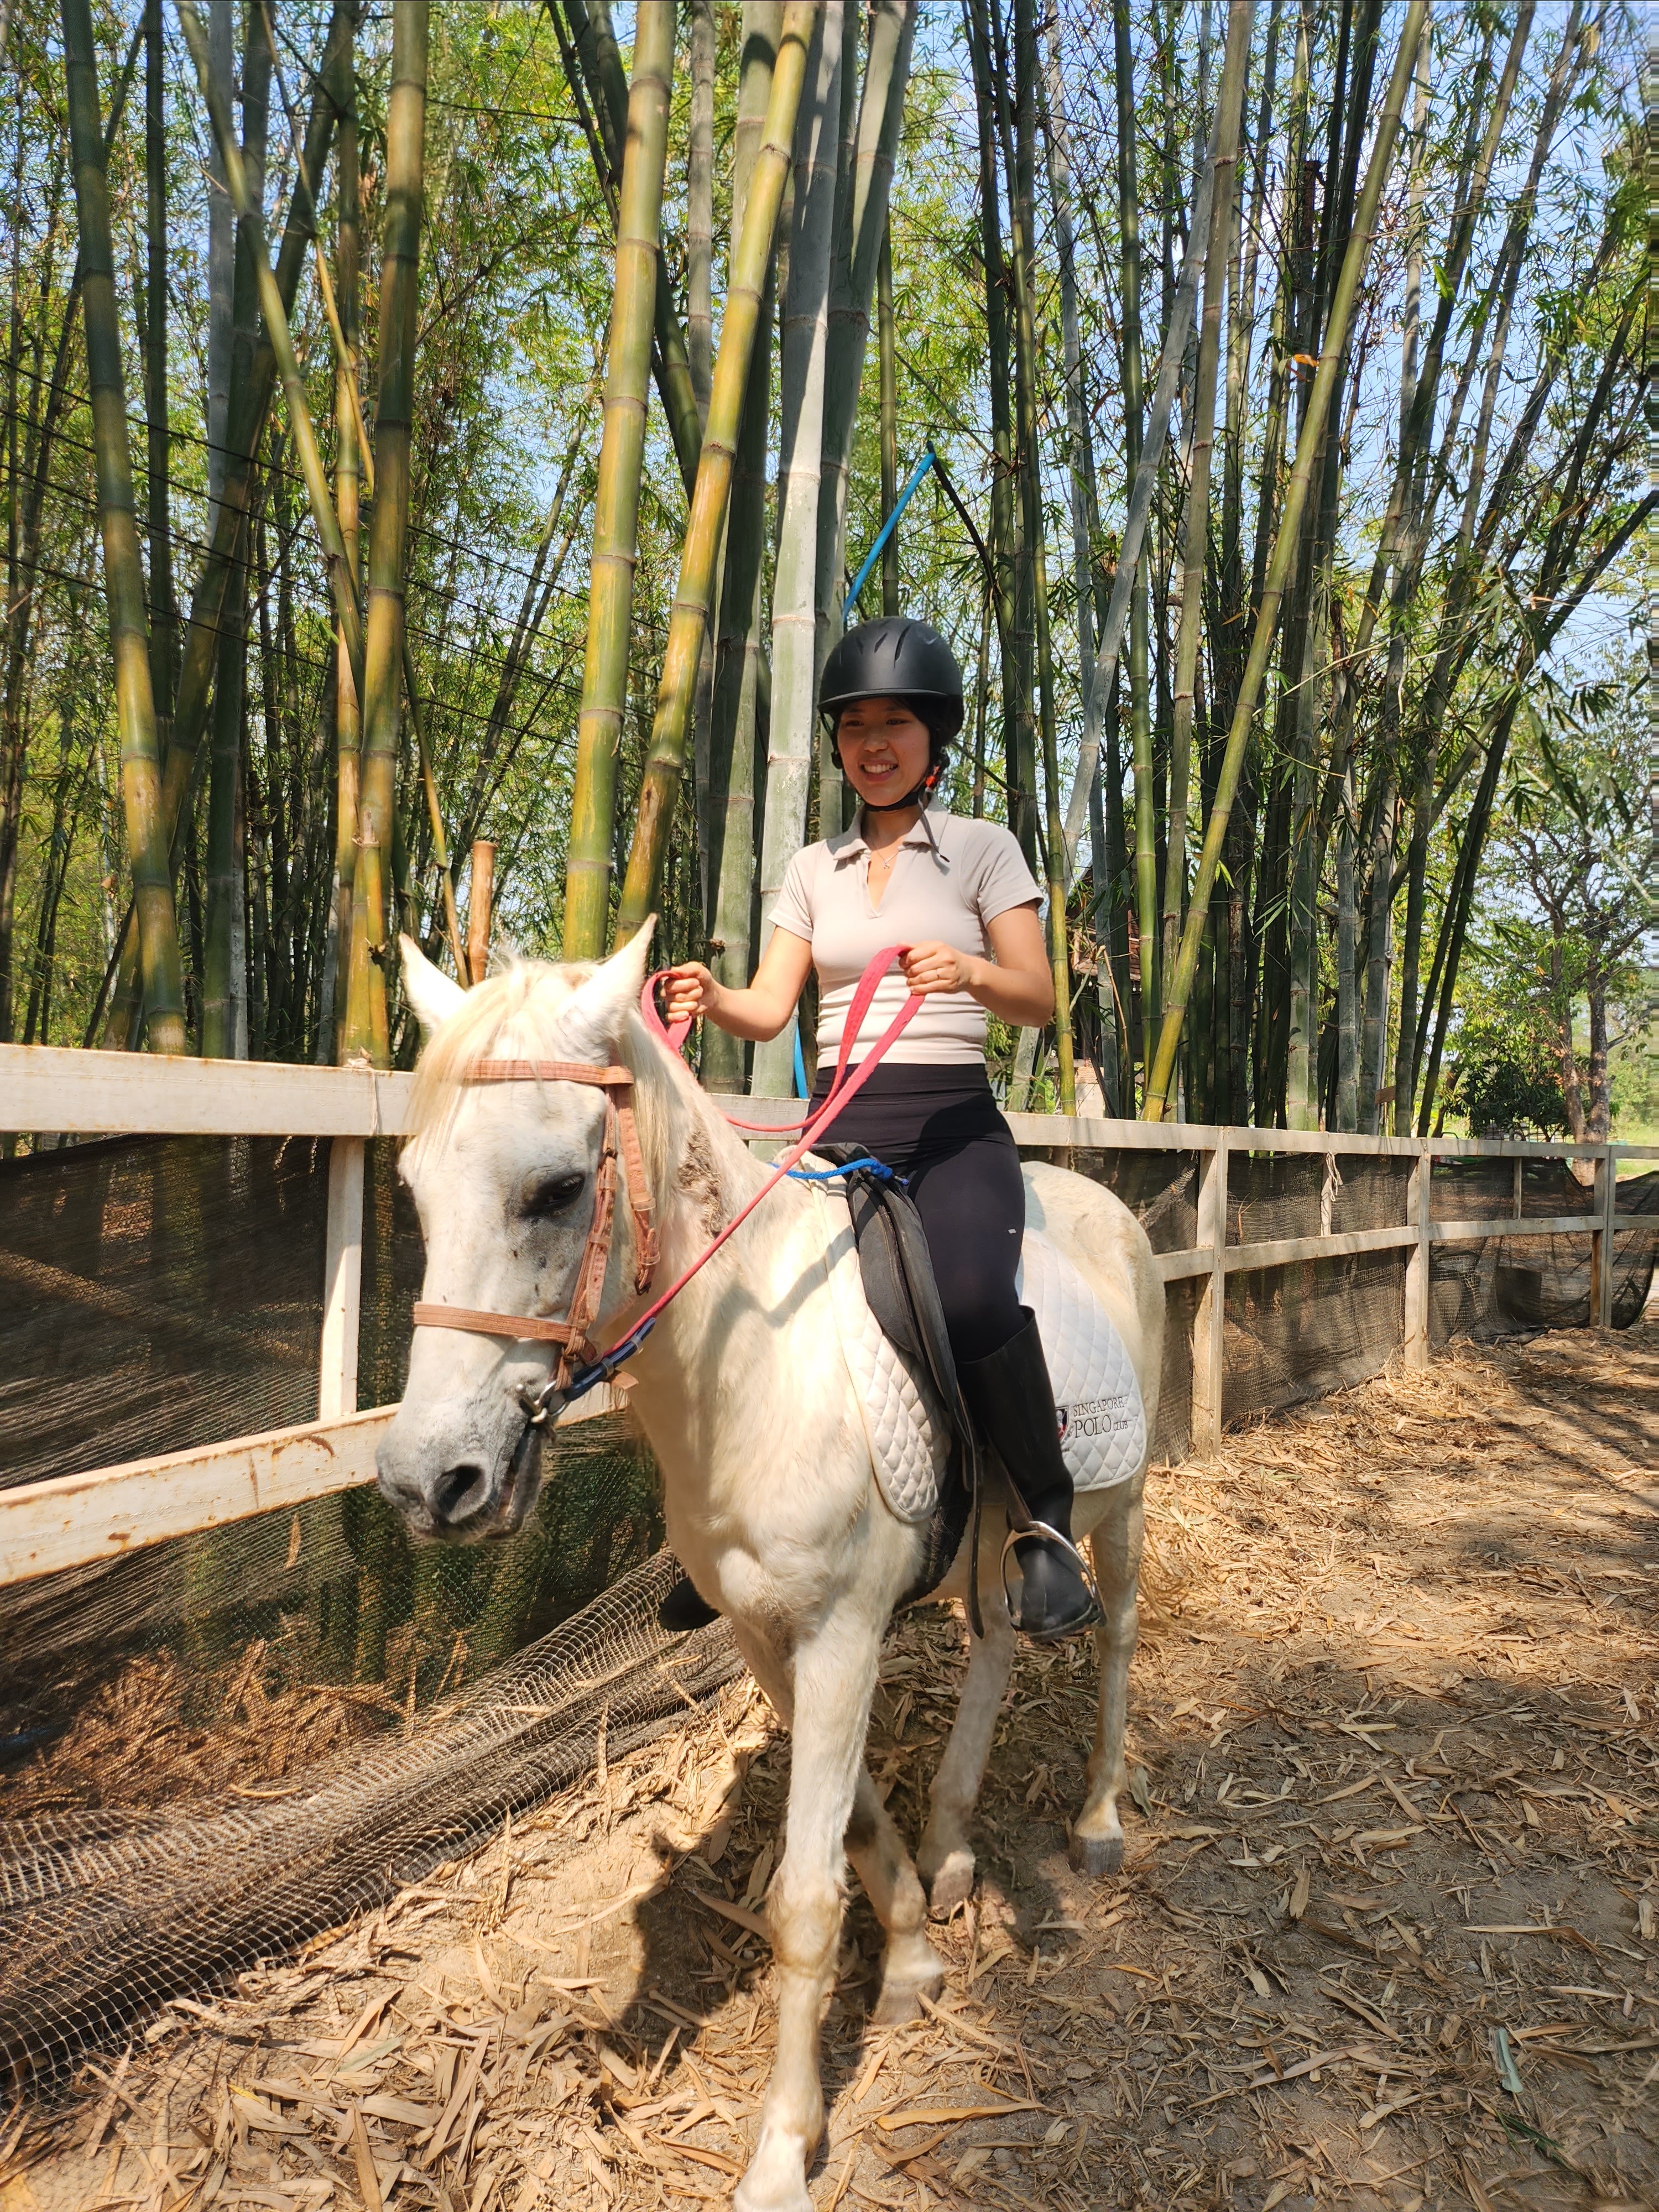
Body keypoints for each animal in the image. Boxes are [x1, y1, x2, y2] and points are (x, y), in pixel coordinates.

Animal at [378, 923, 1164, 2212]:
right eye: (414, 1189)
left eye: (557, 1188)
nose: (424, 1481)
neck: (753, 1369)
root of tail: (1106, 1200)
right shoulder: (766, 1636)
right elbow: (851, 1827)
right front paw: (913, 1956)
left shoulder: (841, 1634)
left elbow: (802, 1895)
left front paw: (785, 2150)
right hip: (995, 1540)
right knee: (998, 1645)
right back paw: (954, 1846)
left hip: (1126, 1509)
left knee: (1114, 1641)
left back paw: (1098, 1818)